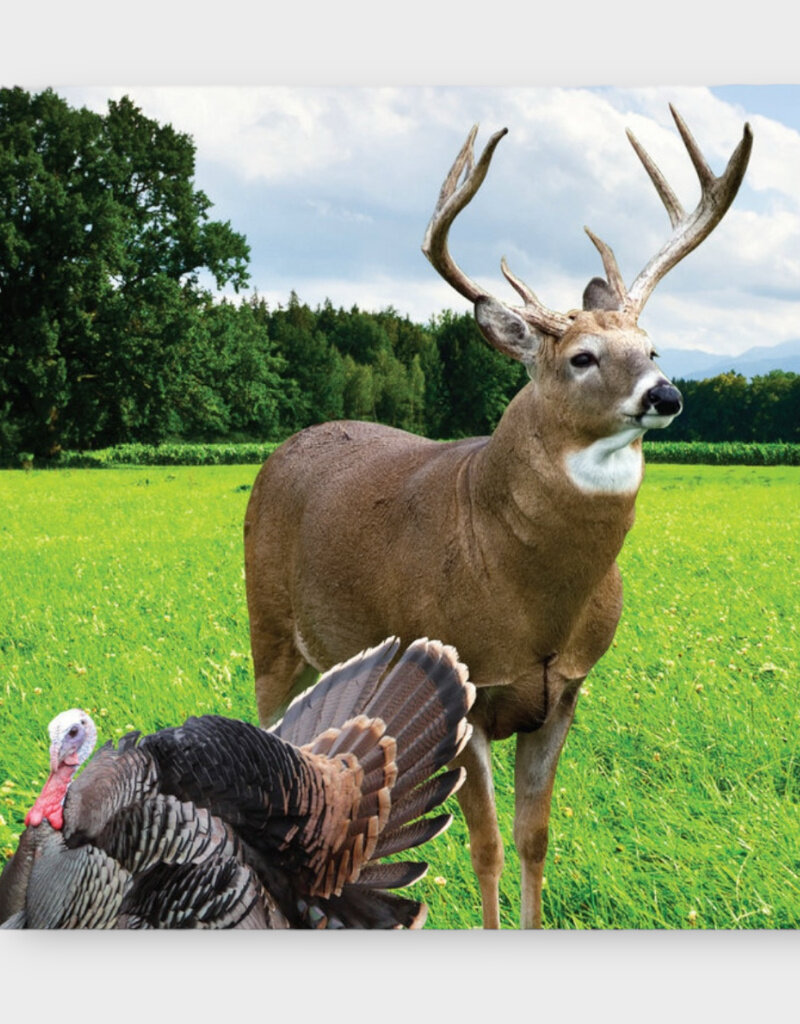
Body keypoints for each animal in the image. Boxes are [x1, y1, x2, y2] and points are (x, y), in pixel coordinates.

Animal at [243, 106, 752, 929]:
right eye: (581, 356)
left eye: (652, 347)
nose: (666, 394)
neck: (530, 596)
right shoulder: (471, 685)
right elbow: (483, 847)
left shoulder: (565, 692)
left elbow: (532, 838)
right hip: (267, 624)